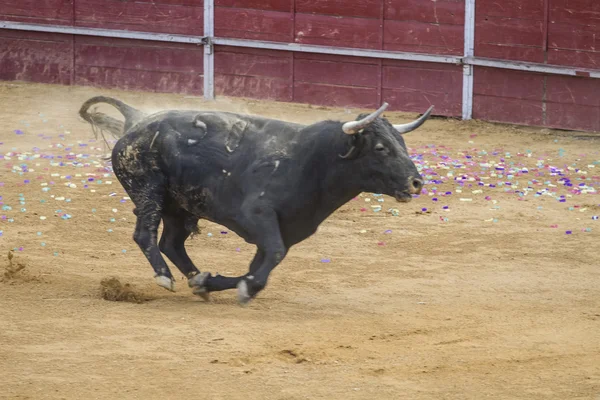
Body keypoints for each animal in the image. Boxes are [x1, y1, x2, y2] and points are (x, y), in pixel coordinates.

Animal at [79, 97, 434, 304]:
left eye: (401, 143)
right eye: (380, 148)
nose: (416, 183)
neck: (311, 161)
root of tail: (136, 123)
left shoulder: (285, 229)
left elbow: (260, 263)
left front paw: (210, 283)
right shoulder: (258, 216)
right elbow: (271, 256)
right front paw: (245, 289)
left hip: (179, 207)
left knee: (172, 242)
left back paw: (195, 278)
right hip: (148, 191)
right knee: (145, 234)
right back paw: (165, 277)